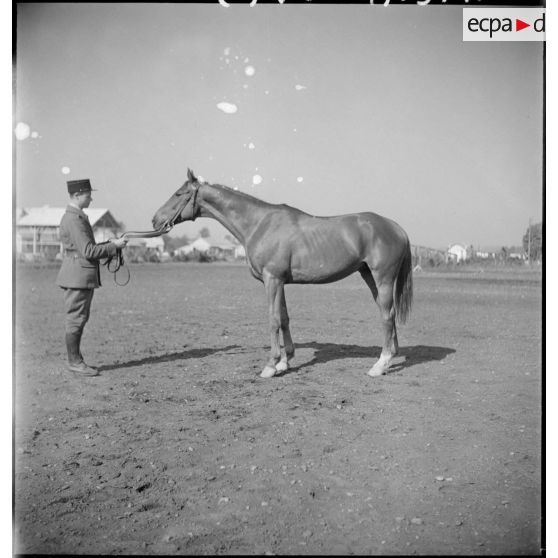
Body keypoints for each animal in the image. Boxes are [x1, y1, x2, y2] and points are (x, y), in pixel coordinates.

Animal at [152, 170, 412, 380]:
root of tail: (396, 227)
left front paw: (270, 366)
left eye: (178, 193)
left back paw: (379, 365)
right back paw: (390, 358)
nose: (155, 220)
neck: (259, 224)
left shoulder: (272, 280)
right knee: (387, 313)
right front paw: (284, 363)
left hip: (383, 278)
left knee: (387, 316)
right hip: (369, 276)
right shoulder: (280, 282)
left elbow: (273, 319)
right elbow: (284, 318)